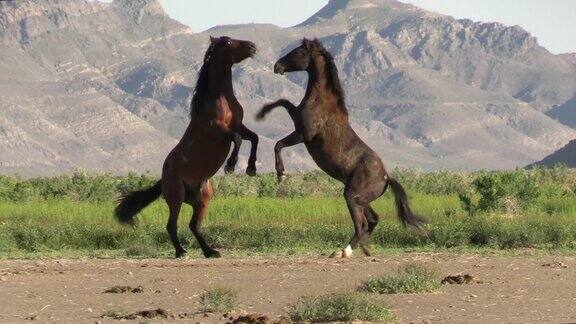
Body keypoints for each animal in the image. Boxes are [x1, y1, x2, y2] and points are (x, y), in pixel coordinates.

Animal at [115, 36, 258, 258]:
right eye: (227, 42)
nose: (252, 46)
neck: (220, 97)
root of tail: (163, 178)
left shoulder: (239, 126)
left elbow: (253, 138)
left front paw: (251, 168)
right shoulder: (217, 129)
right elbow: (237, 140)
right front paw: (231, 165)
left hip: (204, 199)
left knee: (194, 226)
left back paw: (210, 251)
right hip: (176, 197)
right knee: (172, 225)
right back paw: (181, 252)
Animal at [258, 38, 426, 258]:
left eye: (299, 52)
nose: (277, 66)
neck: (321, 101)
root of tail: (387, 177)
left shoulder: (303, 135)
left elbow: (278, 144)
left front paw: (281, 174)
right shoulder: (297, 121)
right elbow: (284, 102)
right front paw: (262, 112)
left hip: (352, 197)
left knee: (362, 225)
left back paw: (343, 252)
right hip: (361, 200)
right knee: (373, 220)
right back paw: (364, 249)